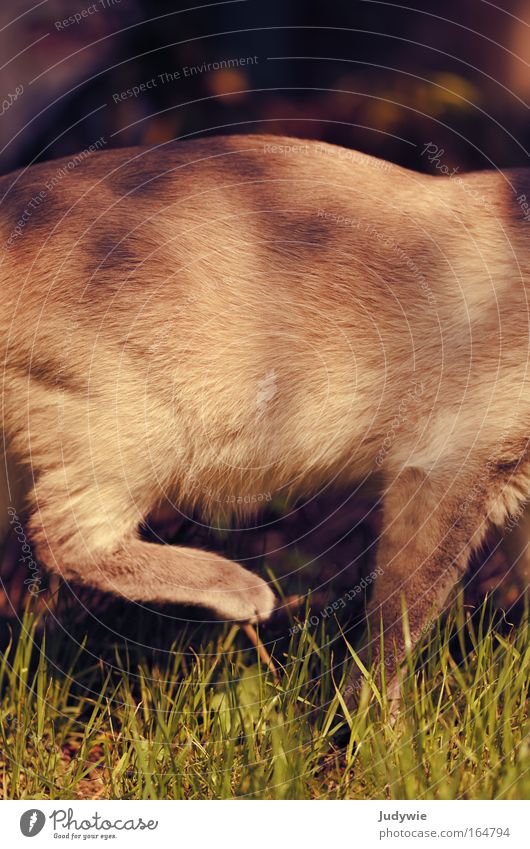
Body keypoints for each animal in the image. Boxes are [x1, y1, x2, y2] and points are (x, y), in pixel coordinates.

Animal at [1, 132, 528, 704]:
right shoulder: (453, 465)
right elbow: (395, 635)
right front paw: (373, 722)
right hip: (152, 424)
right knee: (62, 540)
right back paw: (251, 594)